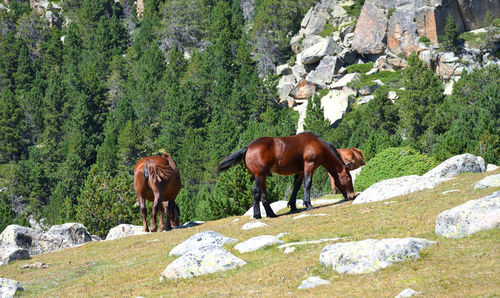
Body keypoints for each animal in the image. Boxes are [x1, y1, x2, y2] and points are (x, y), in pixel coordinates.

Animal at [218, 133, 356, 219]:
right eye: (348, 178)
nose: (352, 196)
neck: (317, 144)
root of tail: (247, 148)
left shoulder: (300, 171)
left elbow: (296, 187)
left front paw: (293, 207)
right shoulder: (309, 166)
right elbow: (308, 184)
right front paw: (308, 204)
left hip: (263, 177)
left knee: (263, 194)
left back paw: (271, 214)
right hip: (260, 175)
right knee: (257, 192)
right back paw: (257, 215)